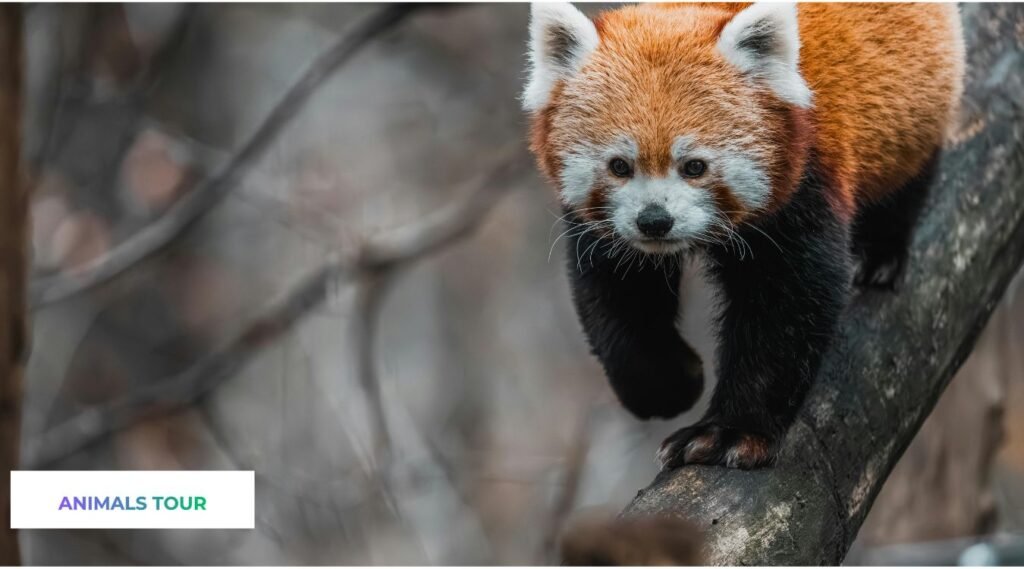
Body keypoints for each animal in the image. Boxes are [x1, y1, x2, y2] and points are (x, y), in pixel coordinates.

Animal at [523, 2, 964, 469]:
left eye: (694, 166)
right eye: (620, 166)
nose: (655, 221)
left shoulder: (802, 186)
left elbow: (786, 308)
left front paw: (728, 432)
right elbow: (618, 298)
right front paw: (668, 384)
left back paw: (880, 254)